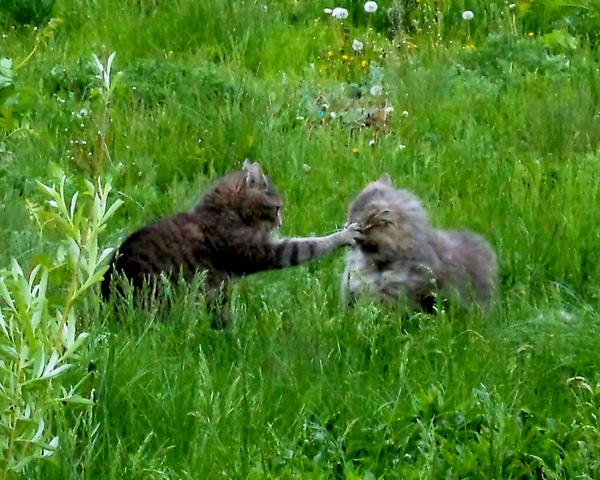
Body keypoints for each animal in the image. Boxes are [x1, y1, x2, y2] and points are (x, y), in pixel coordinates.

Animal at [102, 160, 360, 326]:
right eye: (276, 208)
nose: (280, 222)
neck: (222, 212)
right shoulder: (261, 252)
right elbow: (308, 245)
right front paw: (344, 235)